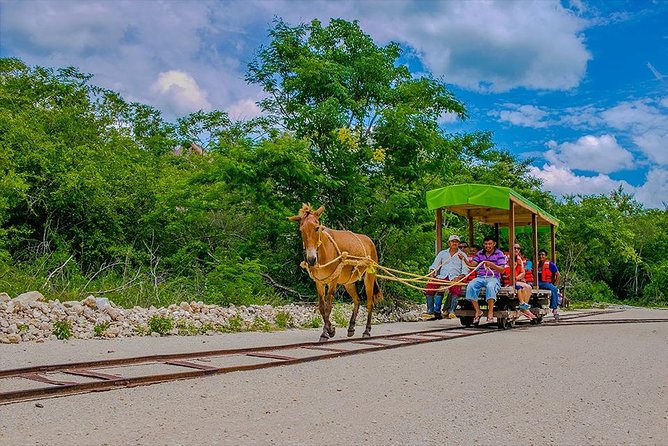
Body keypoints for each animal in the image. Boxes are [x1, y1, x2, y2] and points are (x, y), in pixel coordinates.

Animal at [288, 204, 384, 340]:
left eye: (317, 228)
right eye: (301, 230)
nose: (311, 259)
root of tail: (369, 240)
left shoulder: (333, 280)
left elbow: (328, 307)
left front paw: (327, 332)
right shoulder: (319, 282)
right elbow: (322, 308)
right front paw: (329, 330)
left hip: (369, 276)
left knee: (370, 303)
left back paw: (366, 331)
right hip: (348, 282)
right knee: (357, 300)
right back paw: (351, 327)